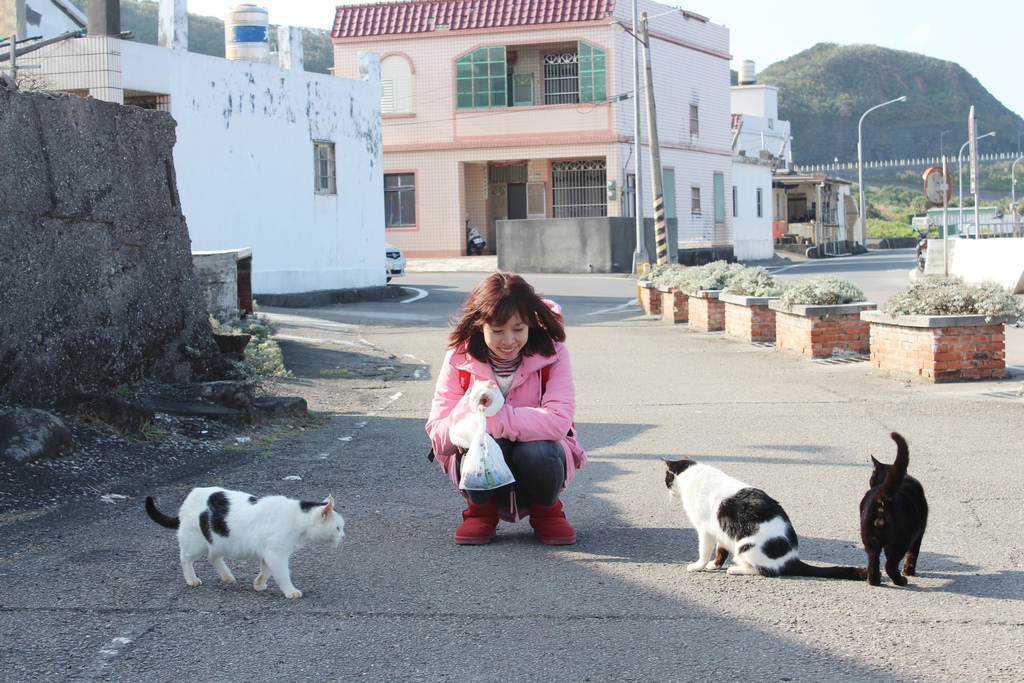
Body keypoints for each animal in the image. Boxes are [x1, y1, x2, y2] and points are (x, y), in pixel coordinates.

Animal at [145, 485, 344, 598]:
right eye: (338, 528)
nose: (343, 536)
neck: (297, 519)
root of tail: (190, 495)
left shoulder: (269, 554)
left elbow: (266, 571)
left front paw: (259, 584)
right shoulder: (276, 554)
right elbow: (282, 574)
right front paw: (290, 591)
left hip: (220, 540)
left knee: (212, 557)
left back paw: (227, 577)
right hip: (195, 542)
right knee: (185, 559)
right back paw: (191, 579)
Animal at [663, 456, 864, 581]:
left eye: (666, 479)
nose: (668, 490)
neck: (694, 475)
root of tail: (792, 558)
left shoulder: (705, 529)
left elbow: (704, 552)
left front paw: (699, 566)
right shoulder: (721, 529)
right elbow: (720, 551)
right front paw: (714, 565)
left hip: (746, 546)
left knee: (766, 571)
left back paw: (736, 569)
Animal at [860, 432, 933, 589]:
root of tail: (883, 498)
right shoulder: (919, 533)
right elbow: (912, 554)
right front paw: (909, 571)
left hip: (869, 539)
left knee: (873, 561)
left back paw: (874, 581)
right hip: (902, 540)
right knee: (890, 565)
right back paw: (901, 580)